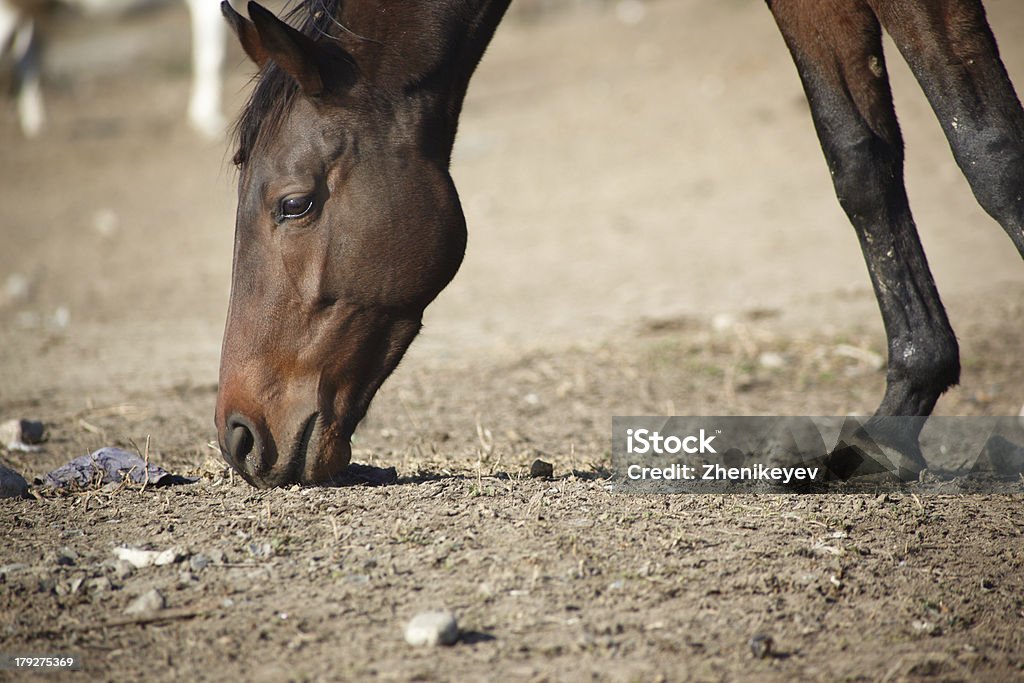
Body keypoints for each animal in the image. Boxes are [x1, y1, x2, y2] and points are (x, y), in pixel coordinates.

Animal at [0, 0, 225, 137]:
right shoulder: (207, 6)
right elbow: (213, 59)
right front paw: (206, 120)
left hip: (39, 9)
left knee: (29, 57)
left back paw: (36, 122)